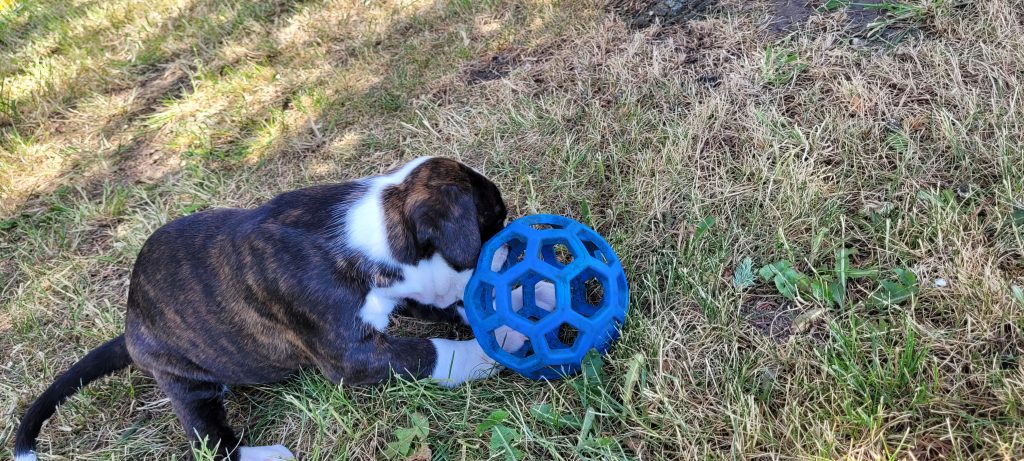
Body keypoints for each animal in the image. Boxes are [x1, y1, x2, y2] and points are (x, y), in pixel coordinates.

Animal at [18, 157, 520, 461]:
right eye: (493, 223)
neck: (380, 226)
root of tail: (128, 328)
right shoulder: (351, 357)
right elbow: (432, 353)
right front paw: (487, 351)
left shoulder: (411, 295)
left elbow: (453, 309)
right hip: (184, 382)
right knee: (210, 444)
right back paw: (269, 455)